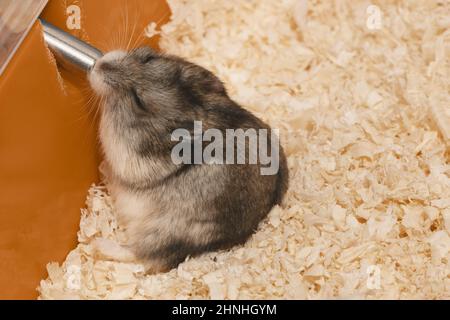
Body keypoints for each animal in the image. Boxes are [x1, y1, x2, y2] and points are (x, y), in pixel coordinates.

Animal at [88, 47, 288, 272]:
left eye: (138, 99)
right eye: (149, 58)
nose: (98, 65)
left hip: (165, 230)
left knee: (146, 256)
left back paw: (97, 245)